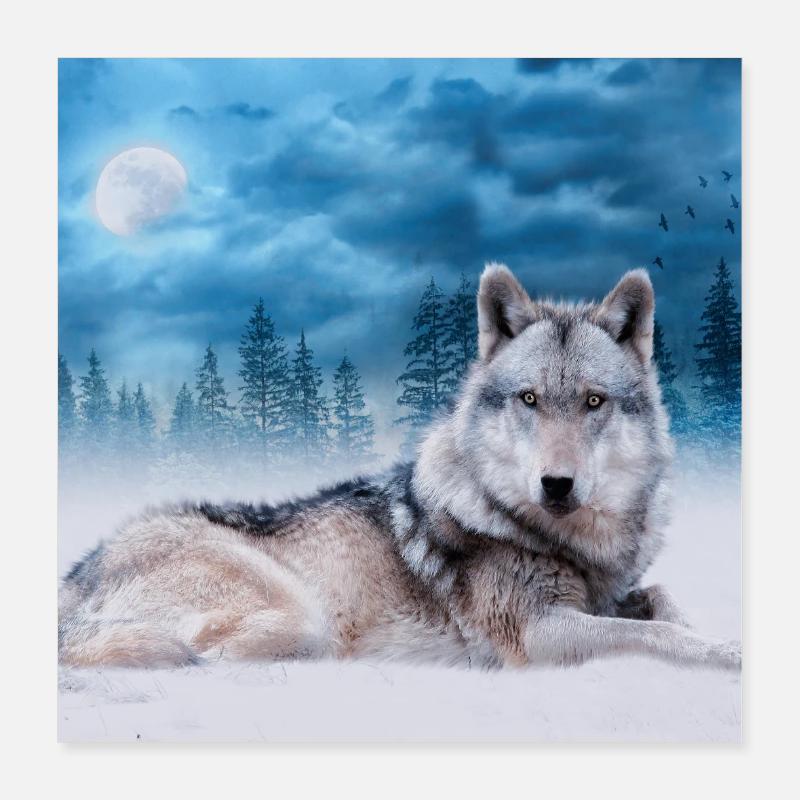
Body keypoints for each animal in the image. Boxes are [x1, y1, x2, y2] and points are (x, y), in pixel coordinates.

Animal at [59, 265, 741, 671]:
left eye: (594, 402)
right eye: (528, 399)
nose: (556, 483)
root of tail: (74, 577)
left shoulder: (612, 595)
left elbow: (662, 602)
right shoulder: (535, 634)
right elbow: (653, 635)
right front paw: (726, 652)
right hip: (299, 617)